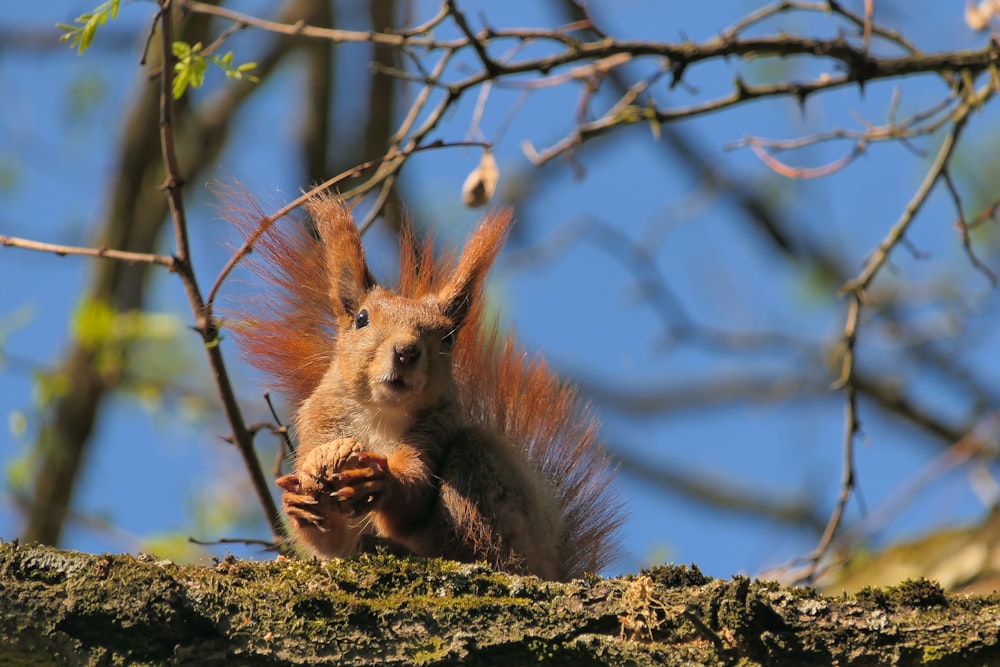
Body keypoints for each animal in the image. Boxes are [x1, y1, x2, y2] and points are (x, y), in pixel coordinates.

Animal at [229, 193, 624, 580]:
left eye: (448, 337)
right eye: (362, 319)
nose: (406, 351)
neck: (379, 414)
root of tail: (549, 563)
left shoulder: (435, 428)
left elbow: (415, 487)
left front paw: (380, 480)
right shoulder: (320, 425)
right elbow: (328, 540)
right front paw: (299, 503)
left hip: (485, 475)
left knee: (476, 543)